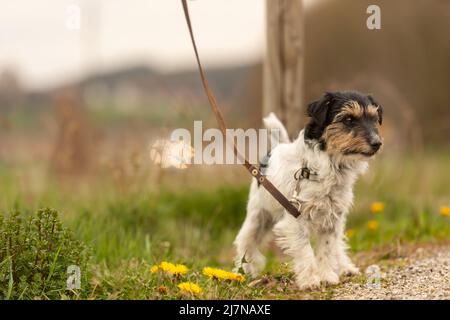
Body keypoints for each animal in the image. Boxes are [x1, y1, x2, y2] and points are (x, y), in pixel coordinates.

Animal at [234, 90, 382, 290]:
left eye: (374, 118)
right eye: (348, 119)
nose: (377, 143)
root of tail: (275, 149)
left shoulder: (332, 220)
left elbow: (327, 249)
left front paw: (327, 276)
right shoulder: (295, 219)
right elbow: (305, 251)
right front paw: (311, 280)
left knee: (337, 245)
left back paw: (345, 267)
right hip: (258, 217)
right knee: (245, 241)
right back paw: (244, 270)